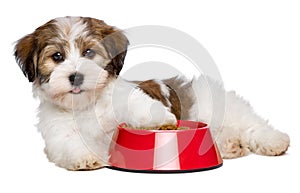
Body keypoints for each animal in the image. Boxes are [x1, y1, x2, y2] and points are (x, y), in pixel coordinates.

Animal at [14, 16, 290, 170]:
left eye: (89, 53)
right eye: (57, 57)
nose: (76, 76)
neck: (86, 105)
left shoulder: (126, 98)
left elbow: (140, 106)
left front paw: (160, 119)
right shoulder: (57, 133)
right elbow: (68, 144)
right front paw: (84, 158)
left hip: (220, 106)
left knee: (251, 125)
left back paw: (274, 141)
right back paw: (232, 146)